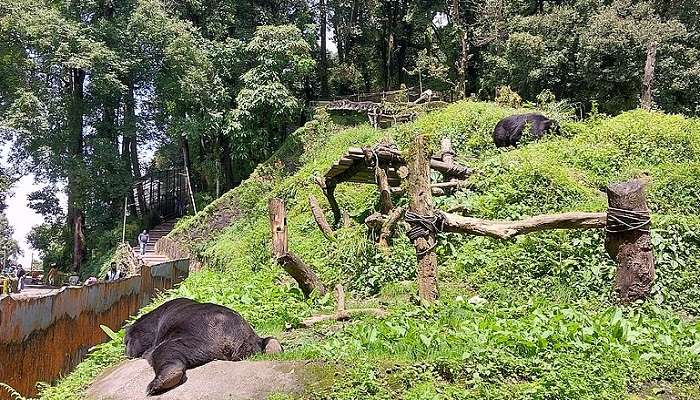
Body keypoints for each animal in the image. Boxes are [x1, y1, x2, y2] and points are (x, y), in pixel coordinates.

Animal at [124, 298, 280, 396]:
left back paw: (161, 381)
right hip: (251, 338)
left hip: (202, 339)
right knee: (265, 339)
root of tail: (236, 339)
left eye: (126, 342)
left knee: (167, 350)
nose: (127, 352)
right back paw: (274, 347)